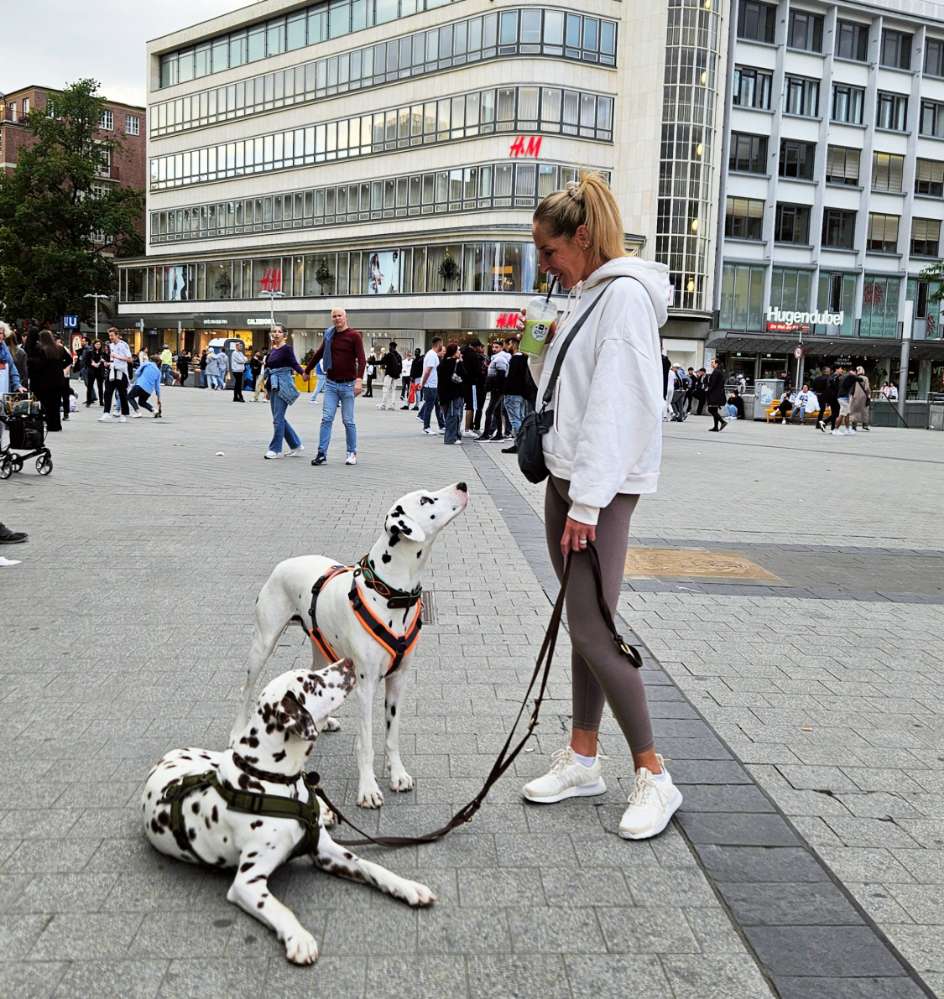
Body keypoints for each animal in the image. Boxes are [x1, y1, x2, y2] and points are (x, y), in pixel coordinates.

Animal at [142, 660, 436, 964]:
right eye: (311, 682)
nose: (348, 662)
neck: (274, 780)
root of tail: (170, 753)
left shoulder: (327, 851)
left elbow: (372, 867)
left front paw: (407, 886)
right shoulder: (247, 882)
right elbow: (280, 909)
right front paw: (300, 938)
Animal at [232, 480, 468, 808]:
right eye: (425, 500)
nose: (463, 484)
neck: (389, 592)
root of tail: (286, 562)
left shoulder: (398, 681)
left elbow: (392, 736)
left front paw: (397, 774)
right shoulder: (366, 685)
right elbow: (366, 744)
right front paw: (368, 788)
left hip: (323, 651)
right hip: (263, 644)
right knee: (246, 689)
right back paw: (237, 731)